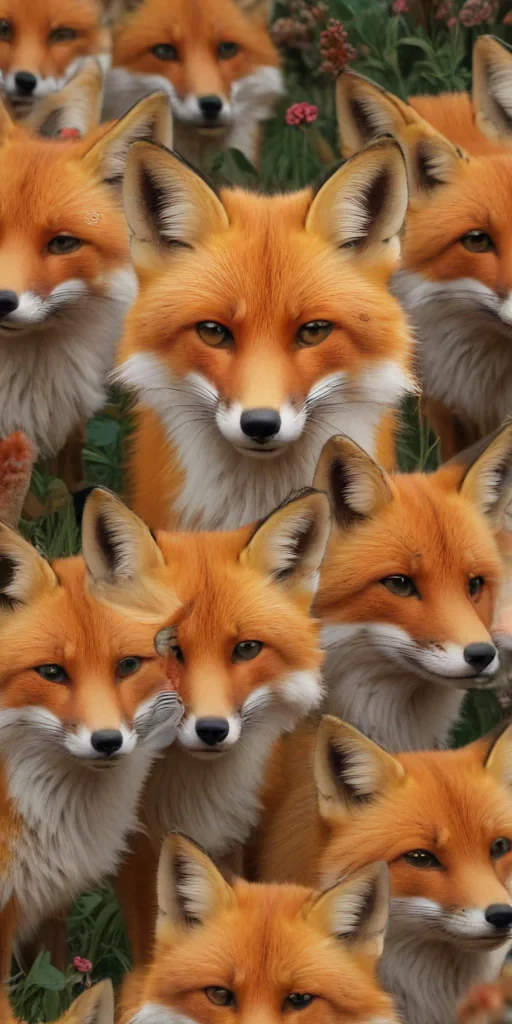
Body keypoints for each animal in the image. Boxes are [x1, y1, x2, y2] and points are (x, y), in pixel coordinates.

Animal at [81, 484, 330, 964]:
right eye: (167, 649)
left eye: (247, 649)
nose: (211, 730)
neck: (185, 798)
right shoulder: (138, 856)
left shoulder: (228, 838)